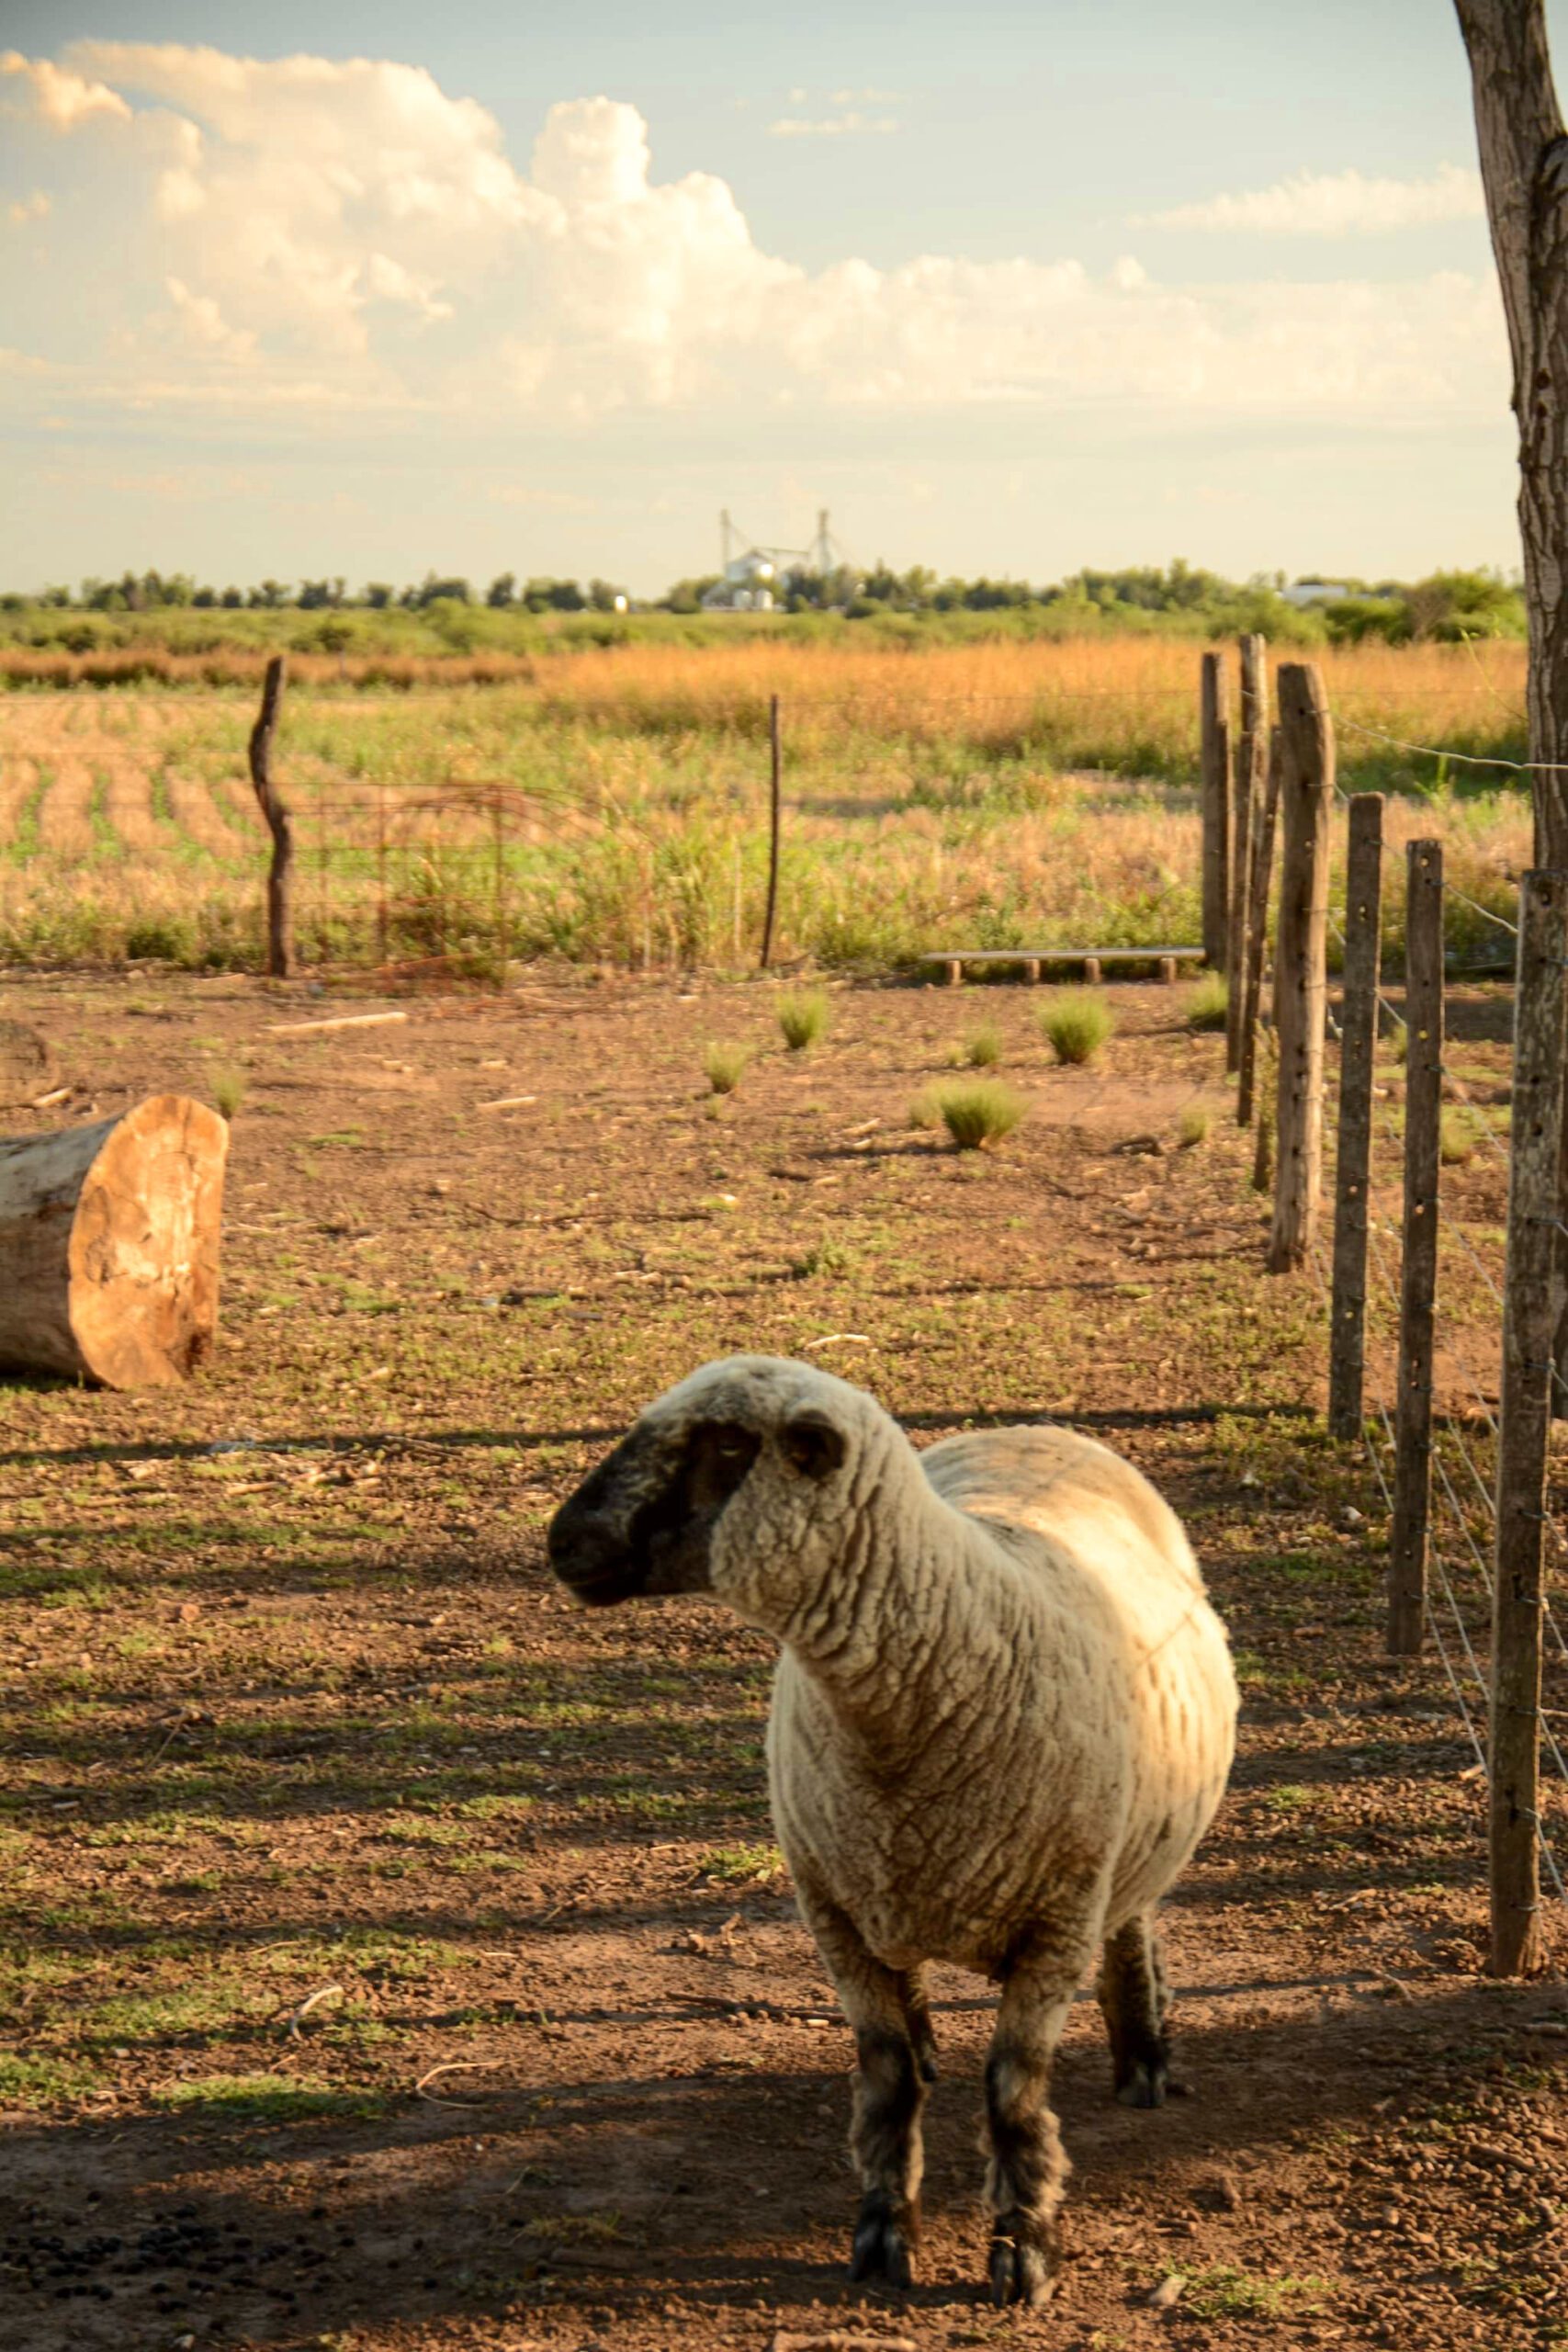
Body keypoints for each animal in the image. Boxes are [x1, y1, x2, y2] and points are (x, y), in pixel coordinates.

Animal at [547, 1354, 1237, 2307]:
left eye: (727, 1446)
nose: (562, 1543)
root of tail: (1033, 1426)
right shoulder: (835, 1915)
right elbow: (885, 2080)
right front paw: (881, 2232)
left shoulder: (1056, 1921)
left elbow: (1011, 2092)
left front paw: (1024, 2247)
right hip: (883, 1883)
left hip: (1124, 1837)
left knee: (1132, 1919)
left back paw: (1142, 2056)